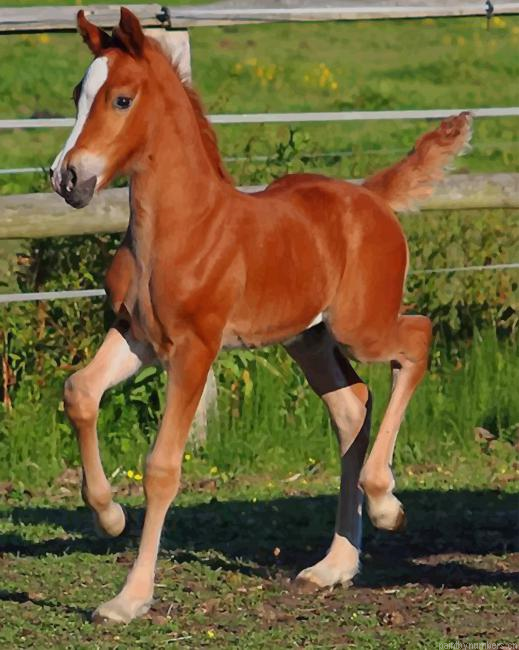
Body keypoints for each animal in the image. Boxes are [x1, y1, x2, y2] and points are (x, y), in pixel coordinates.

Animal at [50, 8, 472, 623]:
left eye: (122, 99)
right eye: (77, 94)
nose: (67, 178)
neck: (181, 227)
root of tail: (370, 197)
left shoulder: (195, 348)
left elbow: (162, 466)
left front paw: (129, 598)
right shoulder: (135, 336)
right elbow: (80, 391)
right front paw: (108, 517)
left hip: (360, 326)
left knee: (416, 339)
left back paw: (386, 503)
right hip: (308, 338)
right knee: (352, 406)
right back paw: (333, 566)